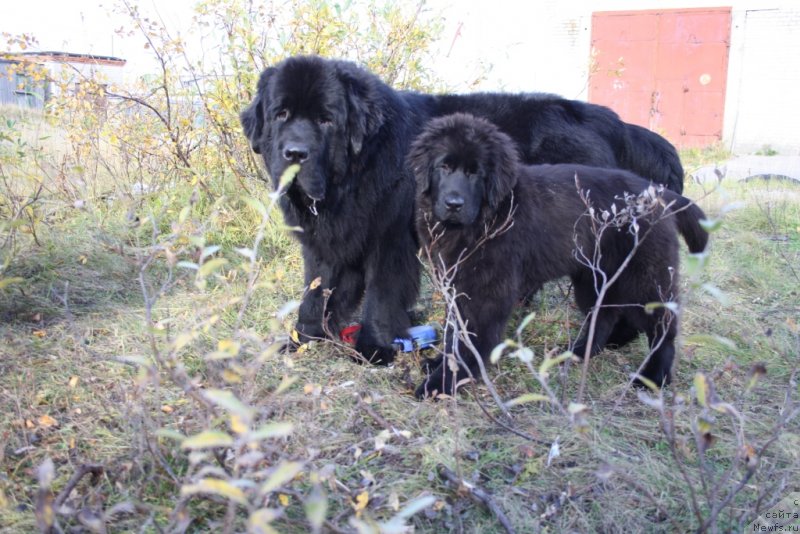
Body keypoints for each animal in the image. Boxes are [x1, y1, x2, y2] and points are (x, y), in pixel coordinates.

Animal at [241, 55, 684, 364]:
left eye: (326, 120)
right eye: (281, 114)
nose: (294, 153)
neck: (356, 170)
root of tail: (612, 121)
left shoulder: (391, 241)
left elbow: (381, 295)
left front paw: (375, 348)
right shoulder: (328, 242)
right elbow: (317, 292)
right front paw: (303, 339)